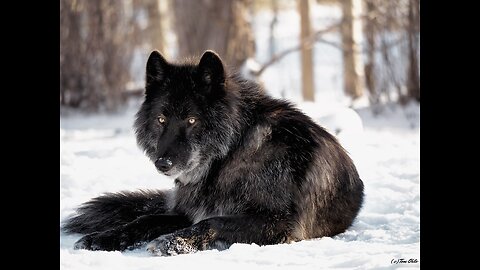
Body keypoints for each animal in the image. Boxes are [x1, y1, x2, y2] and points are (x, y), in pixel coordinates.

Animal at [63, 50, 364, 255]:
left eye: (191, 120)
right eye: (161, 119)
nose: (163, 163)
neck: (228, 155)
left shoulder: (279, 223)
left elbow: (212, 222)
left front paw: (173, 242)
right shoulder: (186, 212)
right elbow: (144, 219)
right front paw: (103, 238)